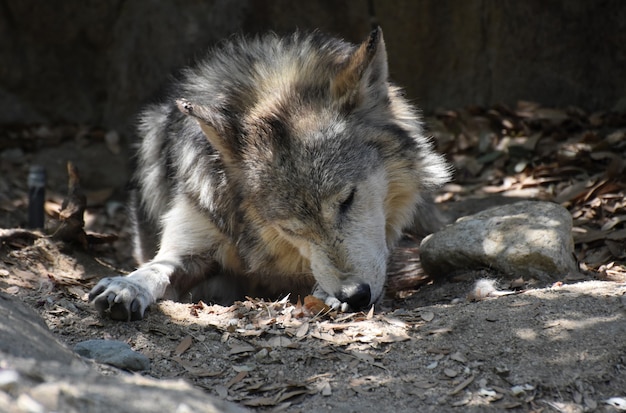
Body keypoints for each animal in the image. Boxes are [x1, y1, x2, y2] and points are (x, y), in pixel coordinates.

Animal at [88, 27, 448, 320]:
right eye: (290, 228)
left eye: (347, 200)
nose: (354, 295)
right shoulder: (193, 245)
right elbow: (156, 268)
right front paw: (127, 286)